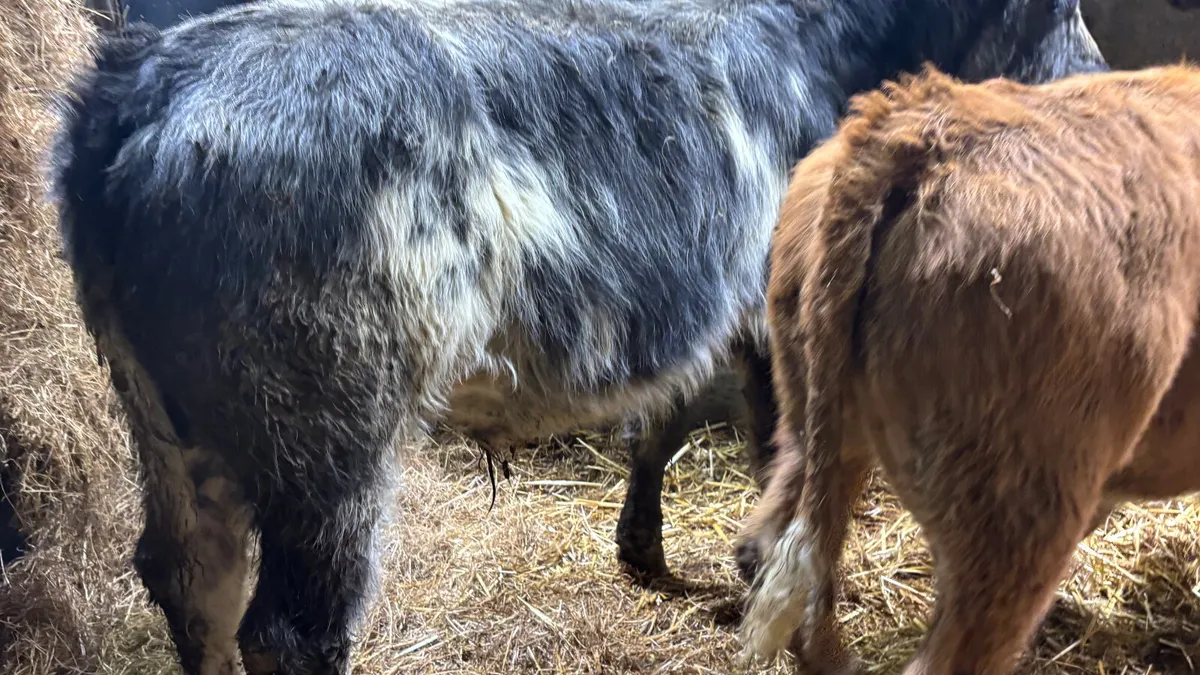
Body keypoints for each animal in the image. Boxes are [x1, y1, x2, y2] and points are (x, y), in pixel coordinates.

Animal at [48, 0, 1106, 673]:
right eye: (1052, 4)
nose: (1096, 78)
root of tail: (140, 82)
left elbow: (663, 423)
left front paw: (644, 548)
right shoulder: (778, 316)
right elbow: (783, 458)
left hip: (167, 410)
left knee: (191, 577)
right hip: (324, 426)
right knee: (292, 628)